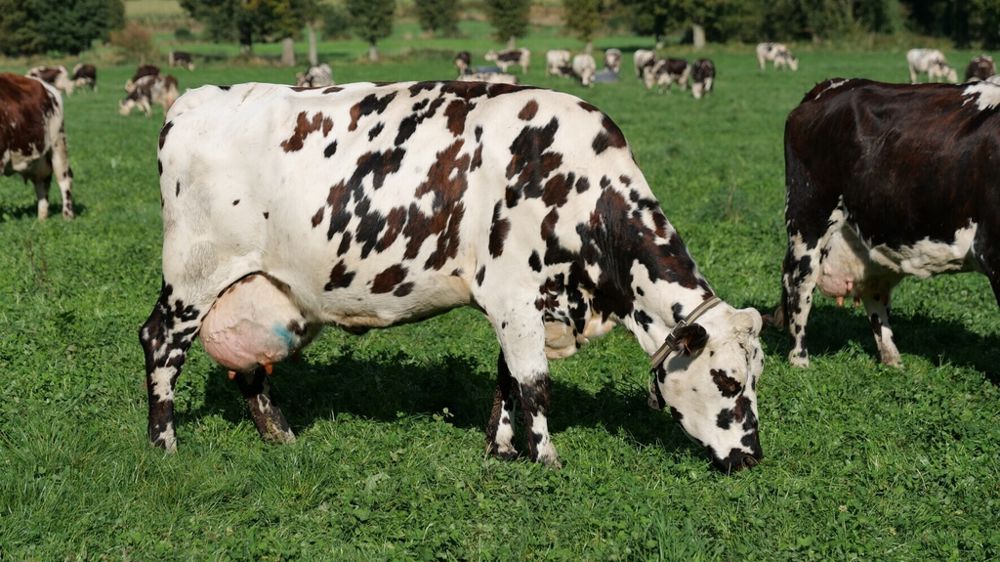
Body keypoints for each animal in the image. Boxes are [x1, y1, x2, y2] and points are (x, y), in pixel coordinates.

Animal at [0, 73, 74, 220]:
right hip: (40, 158)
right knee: (42, 183)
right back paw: (42, 219)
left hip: (58, 143)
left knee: (64, 178)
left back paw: (67, 215)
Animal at [142, 80, 766, 473]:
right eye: (728, 380)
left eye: (756, 376)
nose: (753, 456)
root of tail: (195, 99)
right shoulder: (513, 294)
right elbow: (534, 383)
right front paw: (547, 461)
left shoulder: (523, 305)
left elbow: (507, 380)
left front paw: (502, 451)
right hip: (193, 275)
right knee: (160, 343)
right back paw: (164, 445)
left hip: (259, 286)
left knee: (248, 364)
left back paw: (280, 435)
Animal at [775, 78, 1000, 368]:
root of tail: (831, 87)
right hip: (808, 217)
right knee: (799, 283)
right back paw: (799, 359)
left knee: (873, 293)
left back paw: (892, 359)